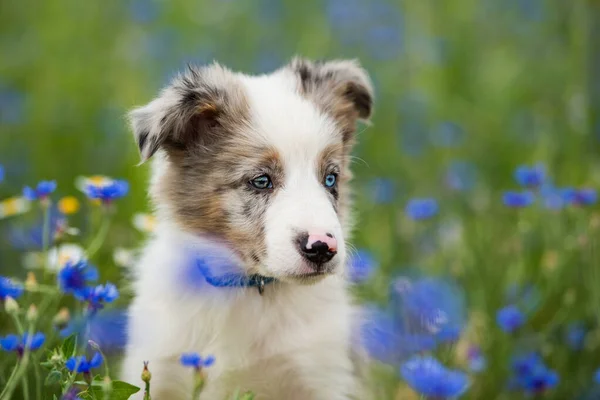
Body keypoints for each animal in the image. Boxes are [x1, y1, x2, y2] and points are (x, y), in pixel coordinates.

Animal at [120, 57, 376, 400]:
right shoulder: (157, 370)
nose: (322, 248)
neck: (248, 288)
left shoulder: (324, 375)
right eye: (261, 181)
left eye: (330, 178)